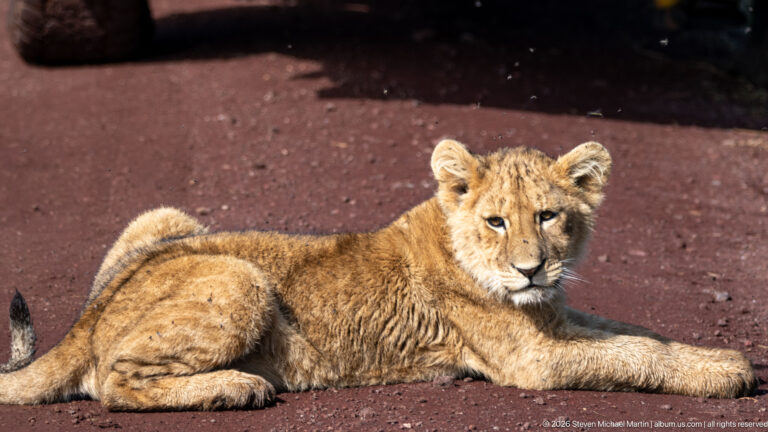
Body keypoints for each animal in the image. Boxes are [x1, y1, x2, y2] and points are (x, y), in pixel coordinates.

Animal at [0, 140, 756, 411]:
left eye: (548, 216)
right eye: (496, 222)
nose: (530, 269)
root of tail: (89, 315)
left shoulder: (556, 318)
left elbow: (639, 333)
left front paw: (718, 356)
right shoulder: (533, 359)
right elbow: (632, 353)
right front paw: (730, 374)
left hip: (164, 218)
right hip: (240, 281)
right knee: (115, 384)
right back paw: (236, 388)